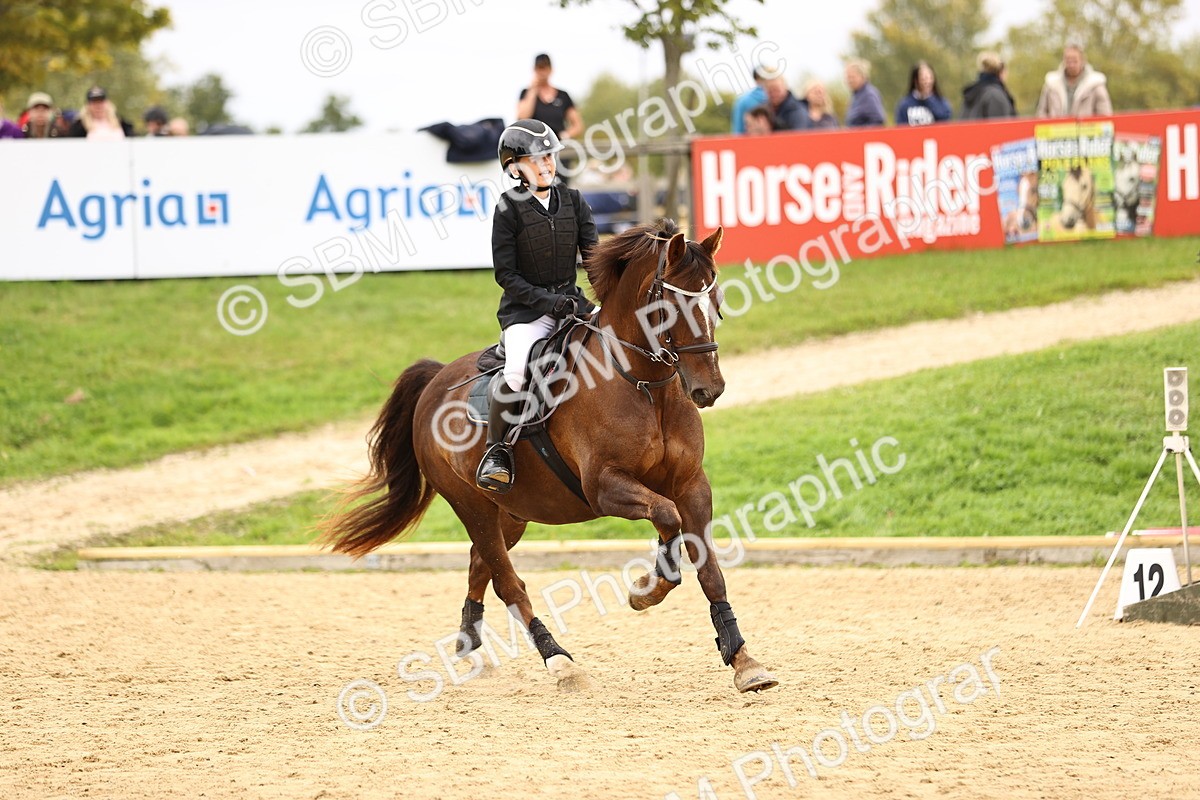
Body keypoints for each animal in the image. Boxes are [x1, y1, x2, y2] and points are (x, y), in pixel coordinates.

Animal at [320, 219, 778, 695]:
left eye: (715, 301)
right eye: (670, 307)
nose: (710, 389)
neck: (643, 384)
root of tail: (435, 380)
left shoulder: (691, 485)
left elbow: (707, 566)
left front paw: (744, 661)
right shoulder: (604, 487)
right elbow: (666, 517)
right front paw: (645, 589)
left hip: (511, 514)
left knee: (480, 564)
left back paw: (470, 648)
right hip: (470, 504)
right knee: (507, 581)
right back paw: (558, 659)